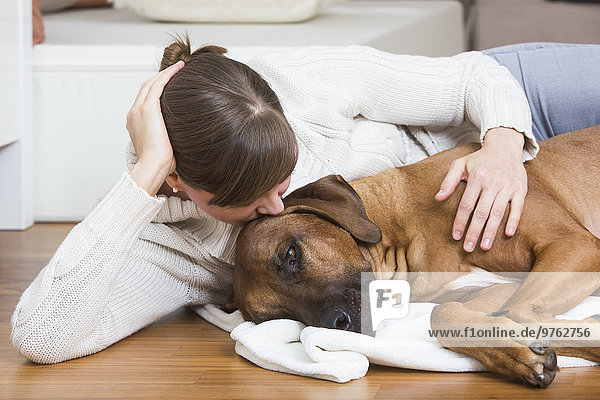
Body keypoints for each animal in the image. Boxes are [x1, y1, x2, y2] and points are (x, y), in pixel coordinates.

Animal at [231, 126, 600, 388]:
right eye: (277, 316)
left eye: (290, 254)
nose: (338, 325)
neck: (404, 233)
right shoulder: (490, 291)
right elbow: (445, 314)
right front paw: (517, 354)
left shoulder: (572, 244)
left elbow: (521, 310)